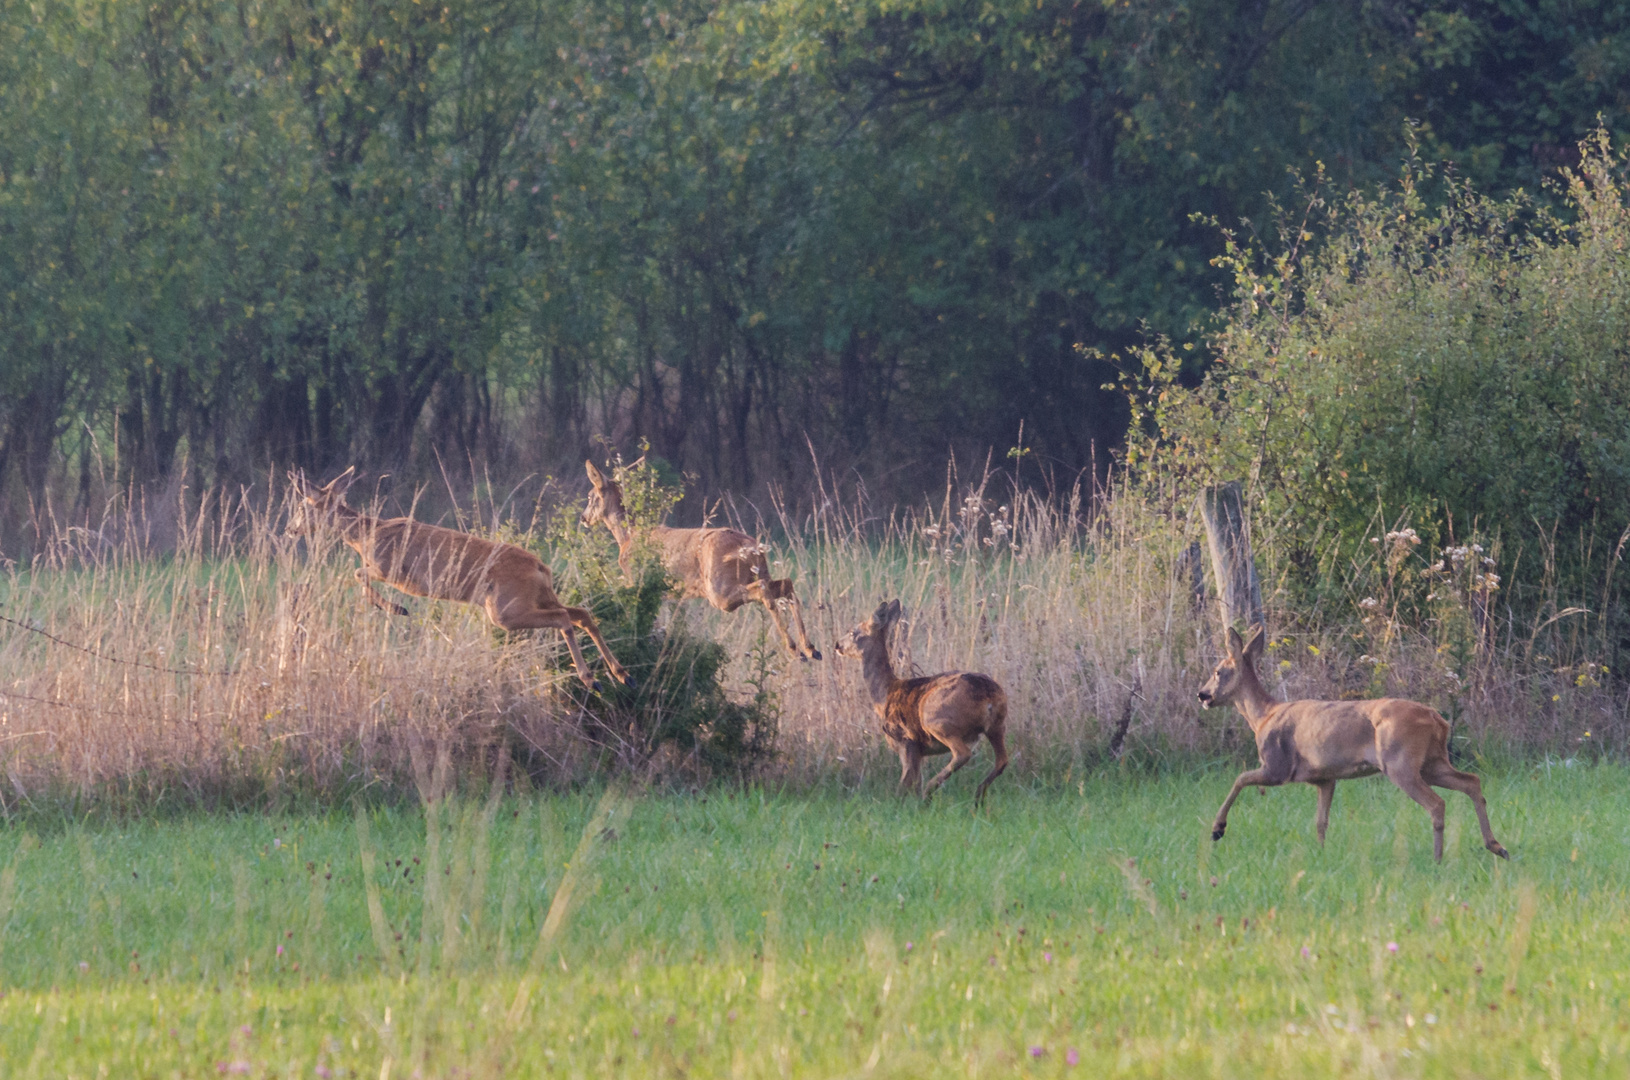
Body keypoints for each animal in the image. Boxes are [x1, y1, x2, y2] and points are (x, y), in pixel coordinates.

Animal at [286, 465, 635, 693]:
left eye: (302, 505)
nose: (290, 528)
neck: (365, 535)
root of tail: (541, 567)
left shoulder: (391, 569)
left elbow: (357, 573)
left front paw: (396, 608)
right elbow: (355, 575)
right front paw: (393, 608)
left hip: (504, 610)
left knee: (564, 618)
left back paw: (592, 679)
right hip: (537, 598)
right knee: (581, 614)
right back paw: (621, 674)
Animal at [580, 459, 821, 664]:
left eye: (590, 496)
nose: (583, 518)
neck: (627, 537)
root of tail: (750, 546)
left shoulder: (636, 580)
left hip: (719, 588)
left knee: (763, 590)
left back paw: (795, 650)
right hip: (759, 572)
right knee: (786, 584)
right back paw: (810, 649)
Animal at [841, 599, 1004, 801]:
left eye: (852, 632)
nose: (837, 645)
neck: (884, 694)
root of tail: (989, 697)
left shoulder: (906, 740)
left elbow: (906, 782)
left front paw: (899, 803)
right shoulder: (918, 751)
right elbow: (914, 781)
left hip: (937, 719)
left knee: (963, 754)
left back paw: (931, 790)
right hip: (997, 725)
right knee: (1002, 760)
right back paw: (978, 794)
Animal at [1193, 625, 1506, 860]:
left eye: (1218, 671)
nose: (1202, 694)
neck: (1262, 718)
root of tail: (1437, 719)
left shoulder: (1277, 766)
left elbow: (1240, 779)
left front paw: (1217, 829)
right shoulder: (1325, 778)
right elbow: (1321, 821)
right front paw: (1321, 853)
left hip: (1400, 762)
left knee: (1437, 803)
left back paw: (1438, 858)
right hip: (1432, 761)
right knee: (1472, 781)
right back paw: (1497, 847)